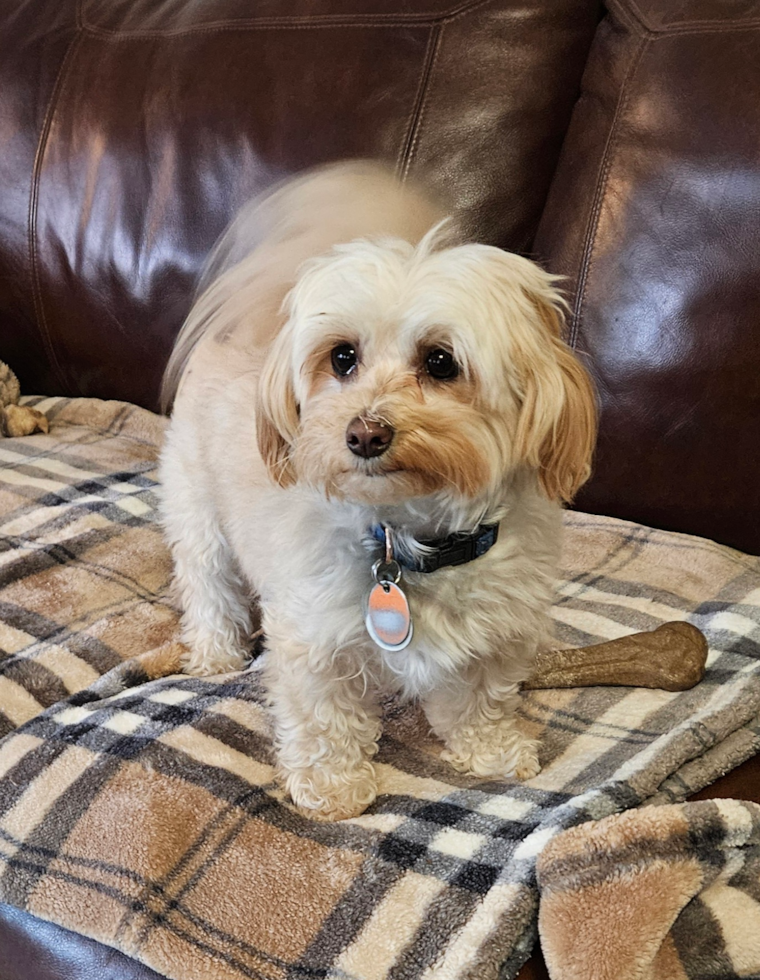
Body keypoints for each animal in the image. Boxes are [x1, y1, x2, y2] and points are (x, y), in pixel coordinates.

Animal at [159, 161, 600, 820]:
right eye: (343, 357)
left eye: (441, 362)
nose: (364, 433)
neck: (408, 540)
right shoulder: (313, 639)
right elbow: (324, 718)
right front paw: (333, 787)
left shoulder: (496, 635)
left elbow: (481, 699)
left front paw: (492, 751)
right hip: (198, 513)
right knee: (208, 588)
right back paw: (215, 652)